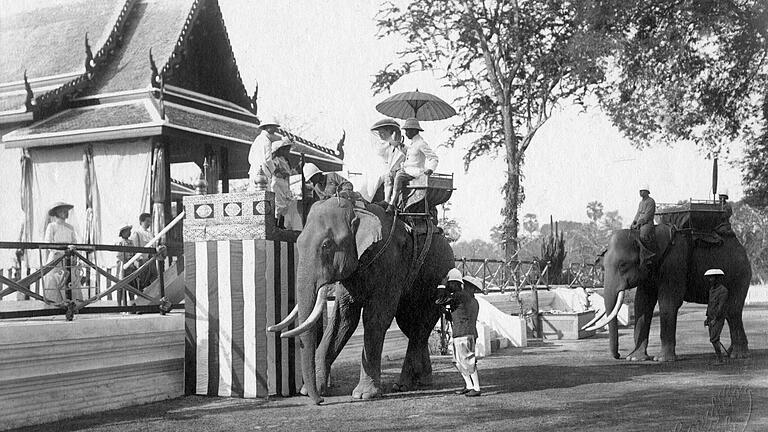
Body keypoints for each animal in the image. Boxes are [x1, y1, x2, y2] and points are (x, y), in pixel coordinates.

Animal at [268, 197, 452, 404]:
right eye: (298, 243)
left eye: (326, 245)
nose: (319, 401)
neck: (357, 209)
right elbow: (342, 319)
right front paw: (310, 391)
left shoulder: (390, 263)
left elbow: (375, 319)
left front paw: (364, 395)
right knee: (410, 326)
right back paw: (422, 381)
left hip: (438, 280)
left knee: (420, 327)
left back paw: (402, 385)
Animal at [584, 224, 752, 362]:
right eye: (603, 267)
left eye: (623, 265)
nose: (619, 355)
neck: (645, 236)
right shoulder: (648, 273)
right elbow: (642, 303)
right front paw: (635, 358)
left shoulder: (674, 264)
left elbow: (668, 302)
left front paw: (662, 359)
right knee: (729, 312)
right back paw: (730, 352)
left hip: (740, 275)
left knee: (733, 310)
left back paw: (737, 355)